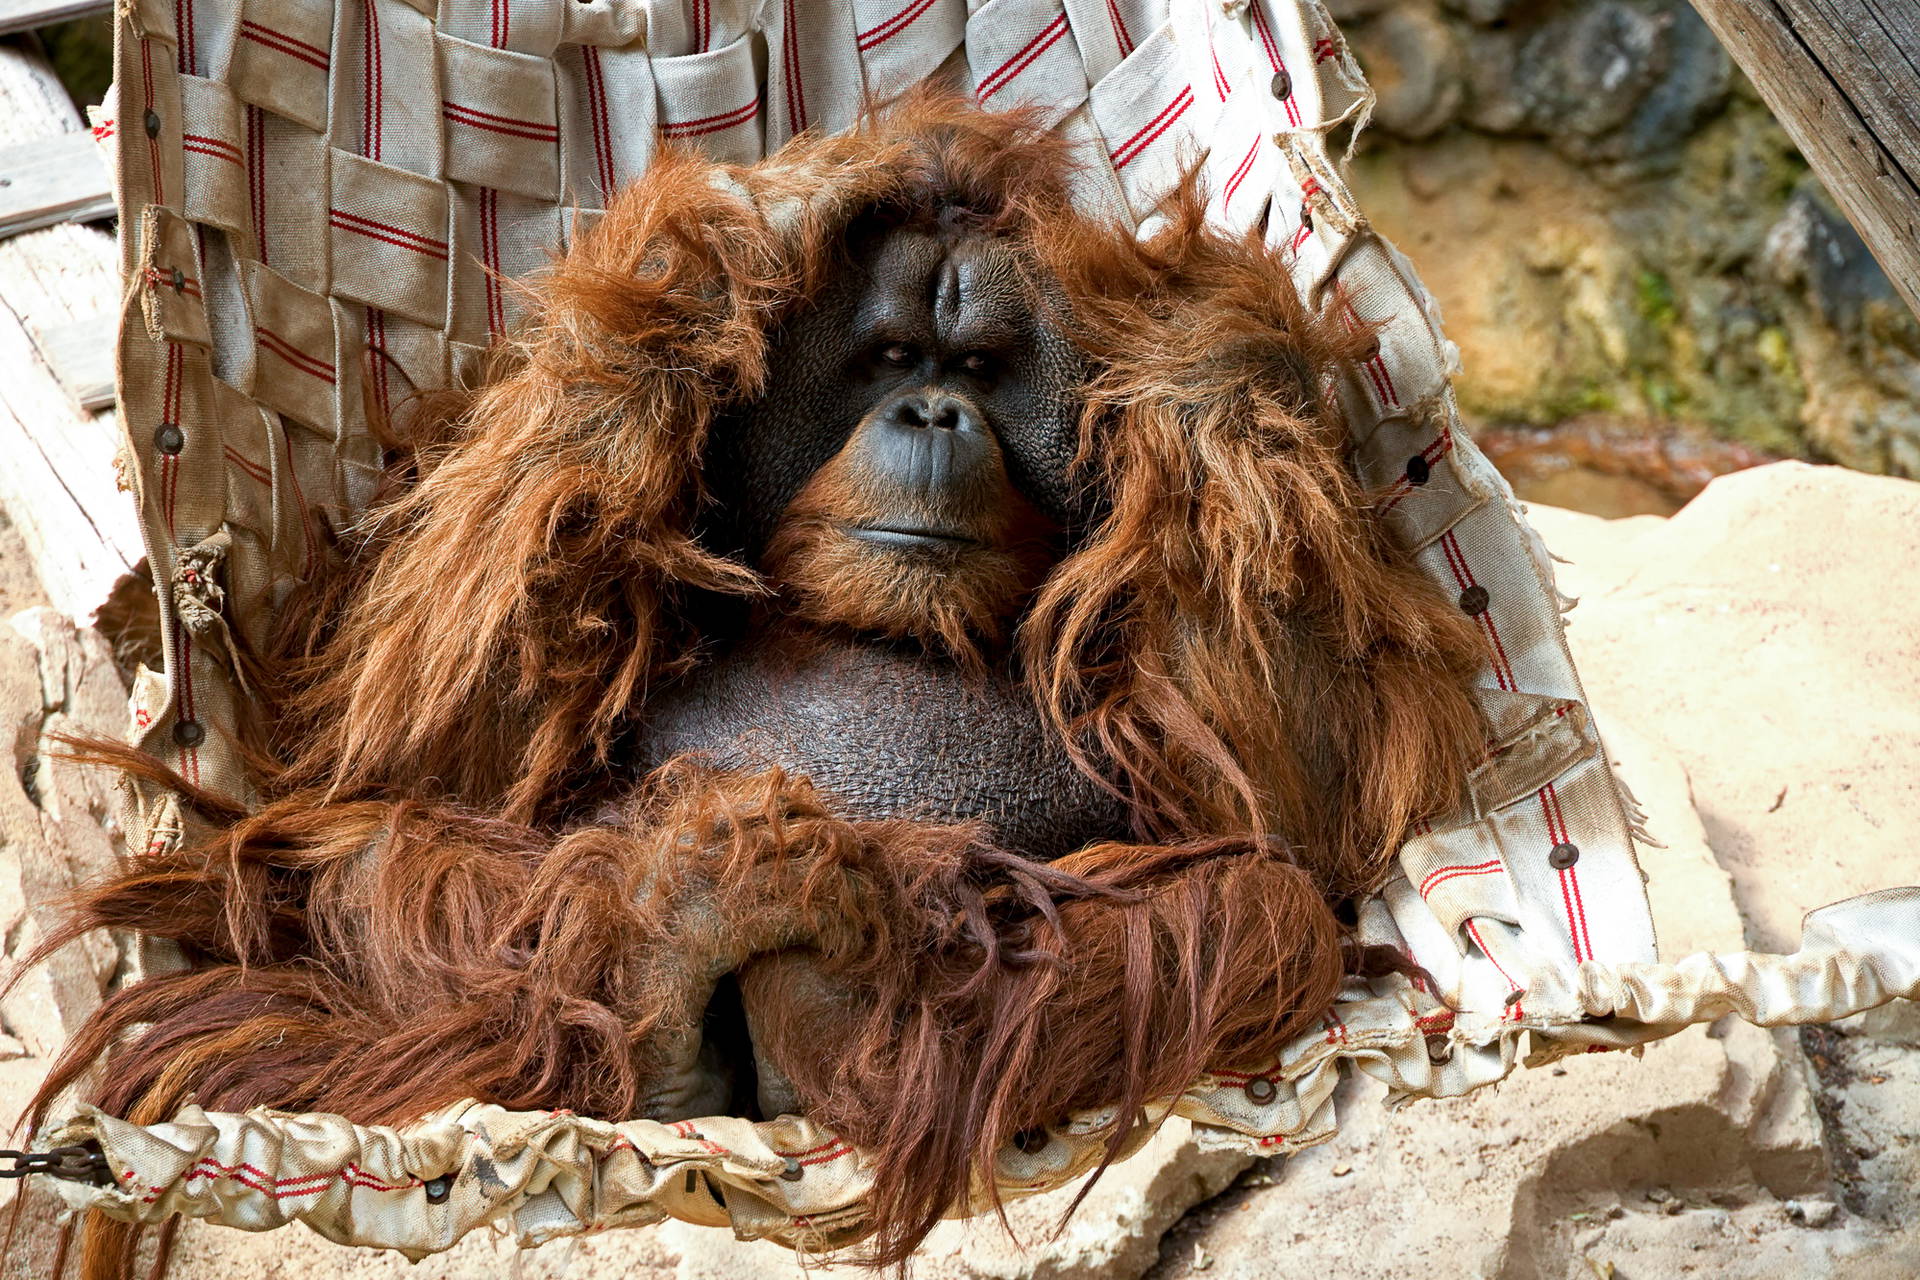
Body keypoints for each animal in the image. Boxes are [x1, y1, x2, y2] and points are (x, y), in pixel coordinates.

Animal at [22, 92, 1491, 1275]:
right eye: (892, 358)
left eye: (980, 370)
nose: (934, 412)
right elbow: (418, 753)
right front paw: (764, 223)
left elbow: (1300, 797)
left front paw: (1188, 337)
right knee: (374, 857)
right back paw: (672, 963)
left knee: (1264, 911)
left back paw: (835, 1015)